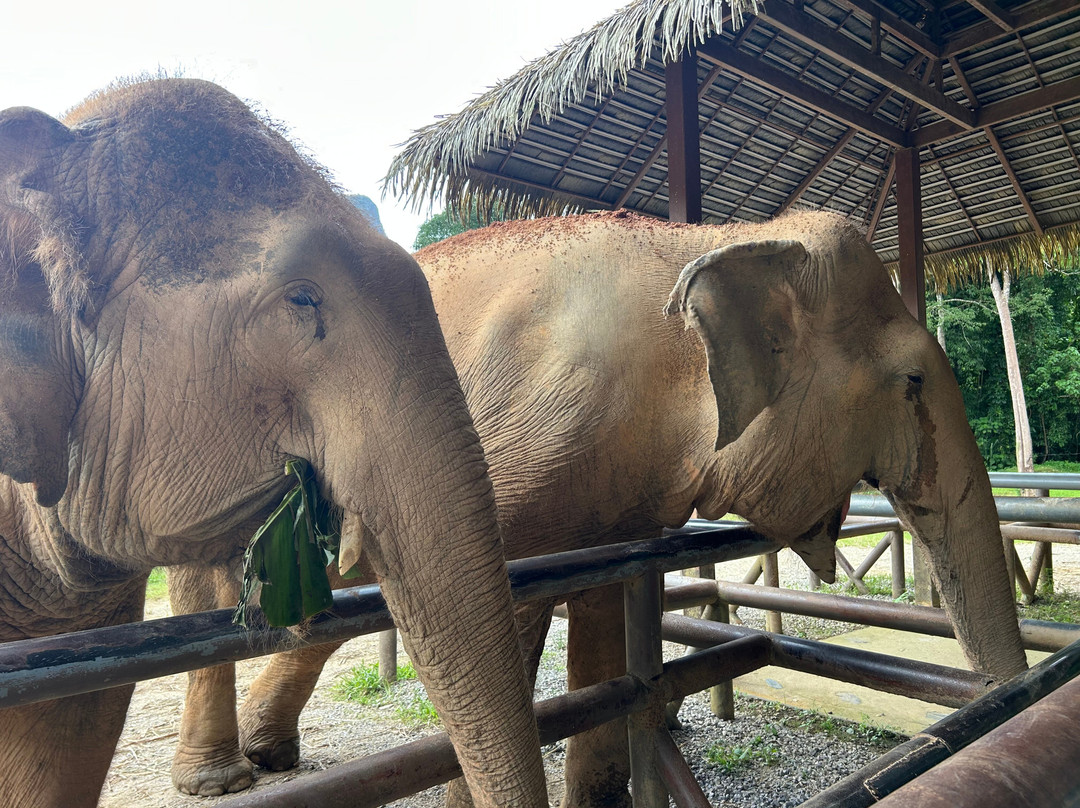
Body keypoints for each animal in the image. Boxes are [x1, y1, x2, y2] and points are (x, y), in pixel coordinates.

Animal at [169, 209, 1029, 806]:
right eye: (911, 382)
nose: (1006, 700)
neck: (710, 236)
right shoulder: (522, 442)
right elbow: (506, 612)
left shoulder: (620, 492)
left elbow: (605, 607)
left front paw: (602, 793)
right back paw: (217, 780)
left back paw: (271, 756)